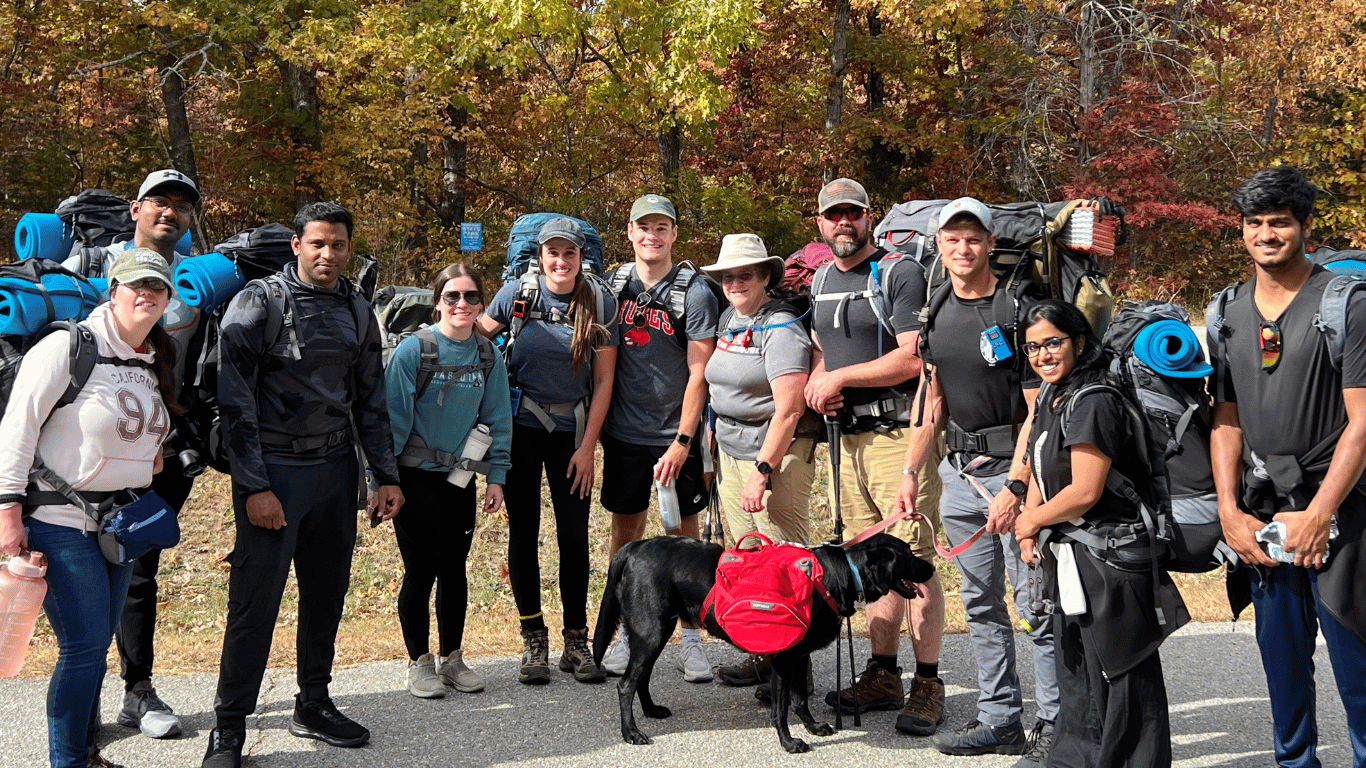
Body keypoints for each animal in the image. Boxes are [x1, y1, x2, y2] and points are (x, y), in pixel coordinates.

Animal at [592, 530, 934, 748]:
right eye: (908, 554)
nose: (932, 566)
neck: (841, 573)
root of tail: (635, 547)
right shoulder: (784, 659)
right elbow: (780, 707)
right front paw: (789, 742)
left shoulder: (799, 656)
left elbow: (799, 699)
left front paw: (813, 728)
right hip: (651, 632)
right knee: (625, 684)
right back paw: (631, 733)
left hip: (657, 632)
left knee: (641, 677)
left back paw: (651, 711)